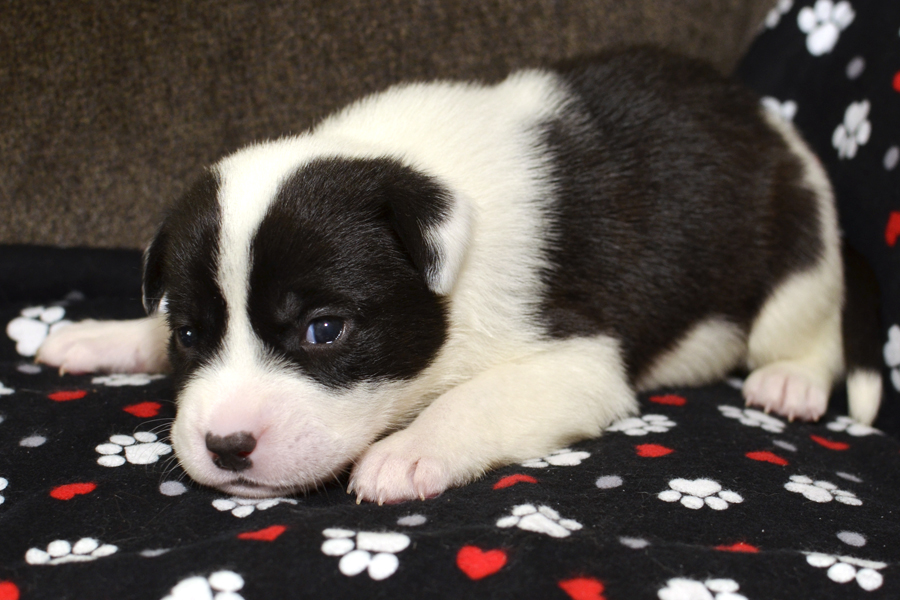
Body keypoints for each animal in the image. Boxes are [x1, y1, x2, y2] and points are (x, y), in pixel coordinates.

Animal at [38, 49, 884, 504]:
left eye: (323, 329)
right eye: (188, 333)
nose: (227, 445)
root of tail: (776, 129)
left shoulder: (576, 362)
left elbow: (477, 399)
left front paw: (408, 451)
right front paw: (105, 335)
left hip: (794, 258)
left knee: (806, 329)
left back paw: (790, 382)